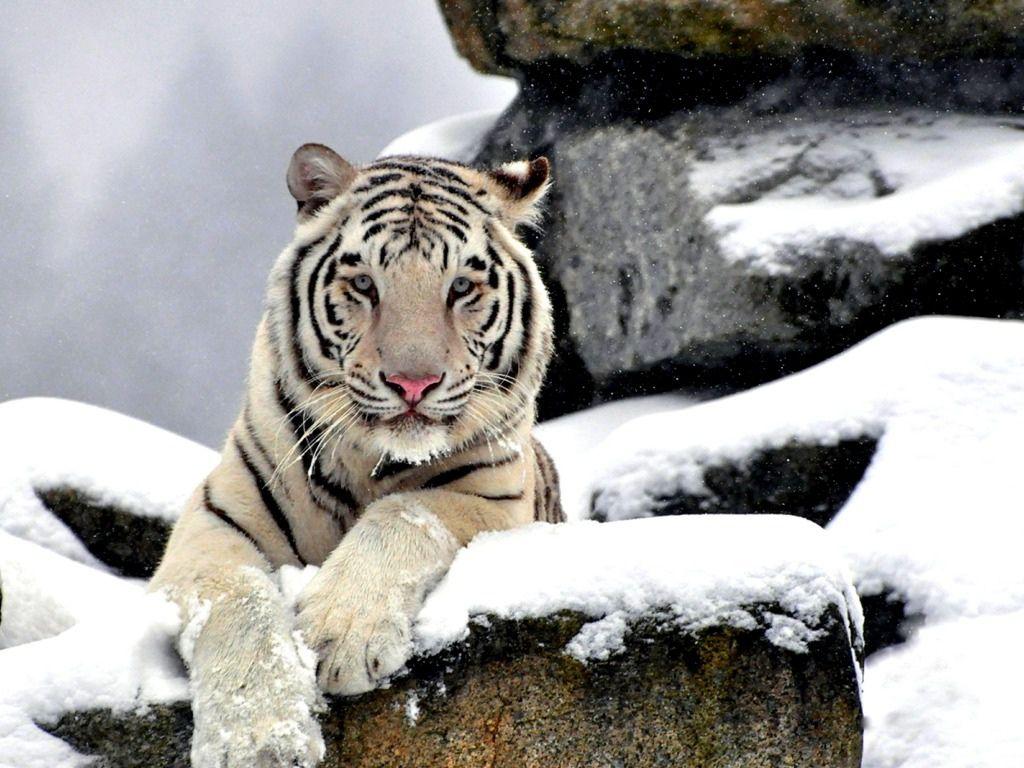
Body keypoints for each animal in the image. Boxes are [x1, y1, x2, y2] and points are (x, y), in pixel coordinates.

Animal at [148, 143, 563, 768]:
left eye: (461, 287)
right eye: (365, 284)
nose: (413, 383)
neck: (370, 463)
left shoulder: (493, 498)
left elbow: (404, 514)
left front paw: (339, 635)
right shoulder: (213, 521)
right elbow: (236, 599)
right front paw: (260, 741)